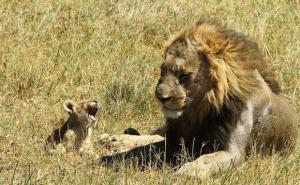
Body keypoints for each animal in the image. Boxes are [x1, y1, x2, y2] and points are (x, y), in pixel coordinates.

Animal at [99, 19, 298, 178]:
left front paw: (188, 171)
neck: (198, 109)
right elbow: (145, 147)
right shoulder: (178, 138)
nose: (161, 97)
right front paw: (112, 157)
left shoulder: (233, 151)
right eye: (162, 70)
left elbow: (206, 159)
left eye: (184, 75)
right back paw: (114, 139)